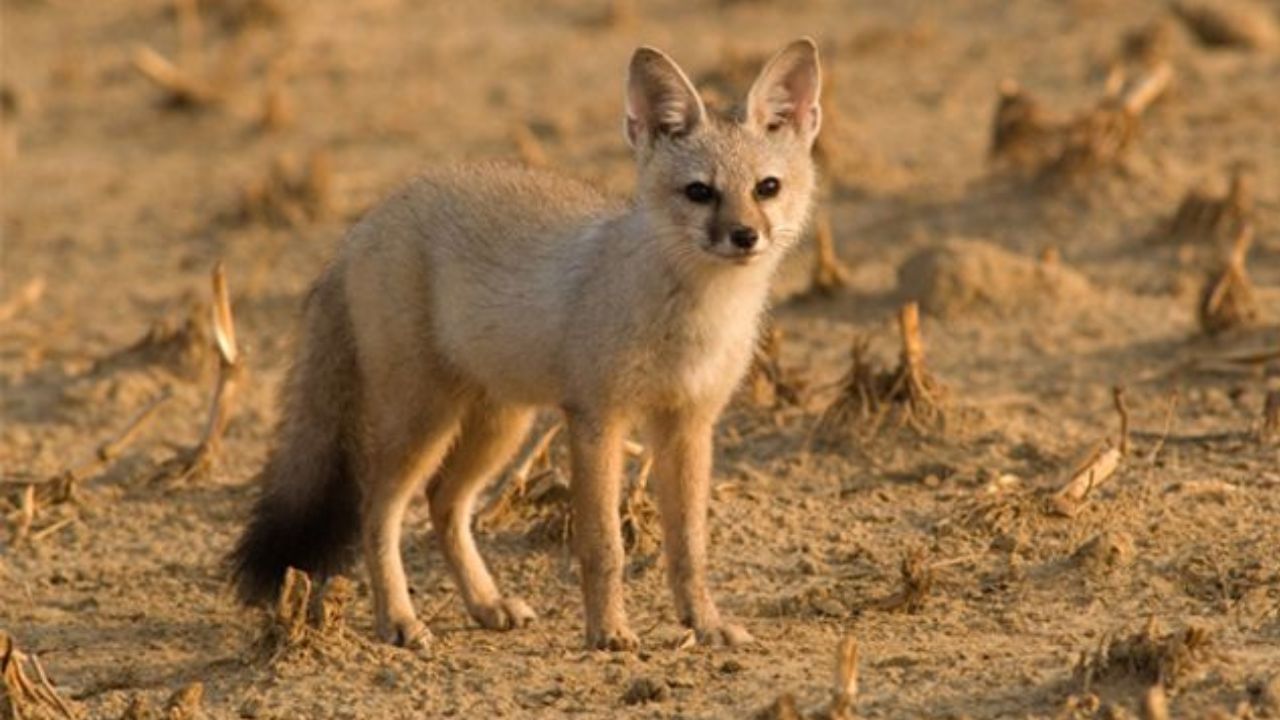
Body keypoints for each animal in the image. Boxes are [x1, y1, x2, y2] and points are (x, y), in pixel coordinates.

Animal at [231, 36, 824, 648]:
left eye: (767, 188)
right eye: (700, 192)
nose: (745, 236)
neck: (696, 318)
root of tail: (363, 226)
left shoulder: (688, 424)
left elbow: (689, 550)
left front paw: (704, 625)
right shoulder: (596, 420)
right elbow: (603, 547)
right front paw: (608, 633)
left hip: (500, 426)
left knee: (443, 503)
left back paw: (485, 604)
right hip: (424, 422)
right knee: (378, 512)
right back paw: (398, 619)